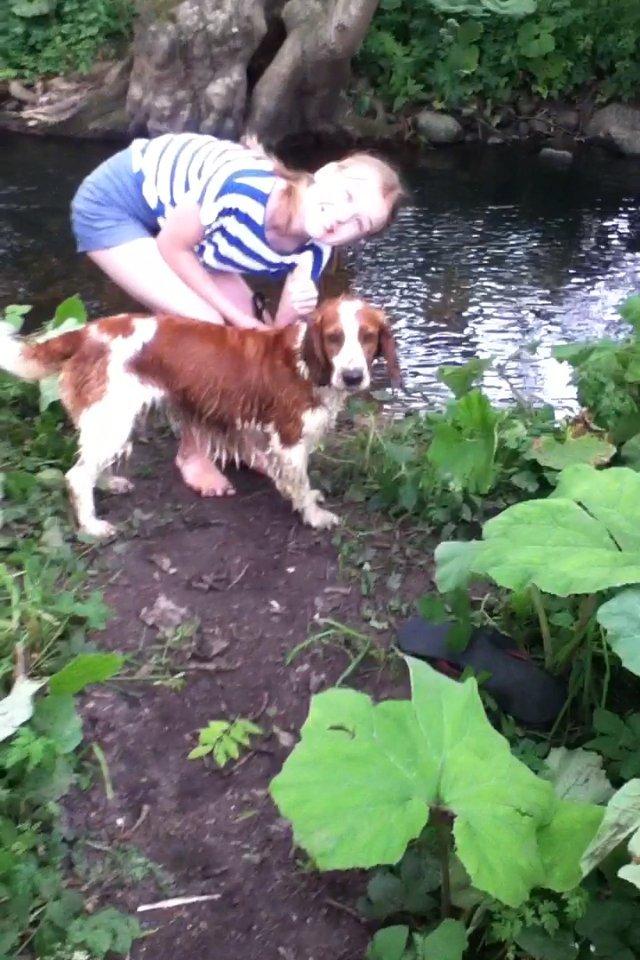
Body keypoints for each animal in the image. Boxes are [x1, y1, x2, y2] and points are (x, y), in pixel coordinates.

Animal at [1, 298, 400, 536]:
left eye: (368, 336)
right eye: (334, 338)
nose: (353, 376)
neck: (306, 362)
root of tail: (86, 332)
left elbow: (294, 481)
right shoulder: (288, 437)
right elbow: (299, 482)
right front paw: (314, 516)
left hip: (112, 420)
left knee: (89, 466)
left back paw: (109, 484)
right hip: (112, 418)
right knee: (76, 476)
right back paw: (92, 525)